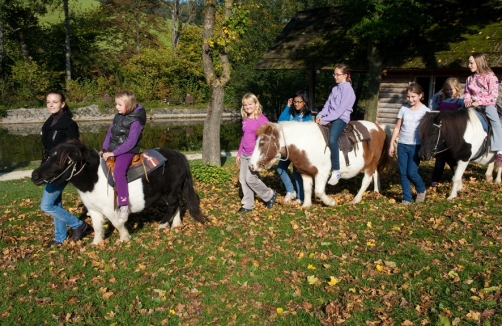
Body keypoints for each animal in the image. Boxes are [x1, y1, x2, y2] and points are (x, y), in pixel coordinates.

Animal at [31, 140, 206, 244]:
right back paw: (175, 224)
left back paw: (162, 225)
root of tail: (180, 156)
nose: (35, 175)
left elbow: (117, 223)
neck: (94, 178)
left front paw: (124, 238)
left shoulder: (111, 208)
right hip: (168, 192)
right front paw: (96, 243)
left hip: (171, 190)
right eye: (49, 156)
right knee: (176, 205)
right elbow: (97, 226)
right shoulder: (93, 210)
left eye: (61, 161)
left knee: (173, 205)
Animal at [249, 121, 390, 208]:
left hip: (371, 163)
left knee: (366, 180)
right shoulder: (305, 172)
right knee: (375, 174)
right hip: (372, 163)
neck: (306, 143)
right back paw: (376, 191)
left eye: (262, 143)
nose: (251, 165)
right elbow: (307, 189)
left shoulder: (322, 173)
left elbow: (318, 191)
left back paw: (355, 199)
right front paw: (306, 205)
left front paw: (331, 202)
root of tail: (379, 127)